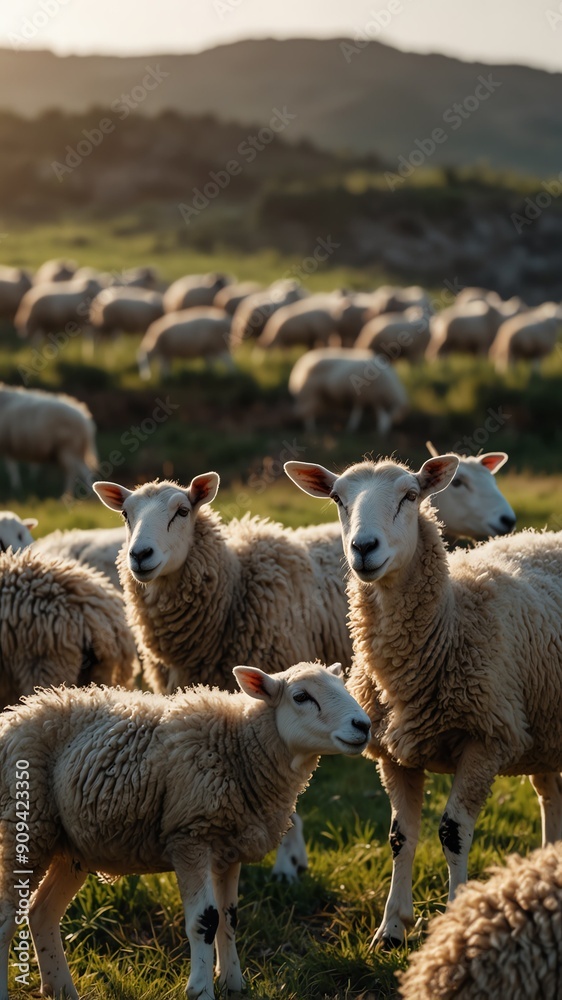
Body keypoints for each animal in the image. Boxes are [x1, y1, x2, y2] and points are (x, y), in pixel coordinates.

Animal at [0, 662, 371, 1000]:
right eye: (301, 697)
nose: (364, 725)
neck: (239, 745)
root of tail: (20, 709)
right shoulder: (190, 837)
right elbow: (205, 920)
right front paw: (201, 989)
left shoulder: (229, 848)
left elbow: (229, 918)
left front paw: (233, 984)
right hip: (27, 827)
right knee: (8, 916)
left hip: (72, 845)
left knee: (41, 912)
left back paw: (61, 989)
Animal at [284, 454, 562, 948]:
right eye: (337, 498)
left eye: (410, 496)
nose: (363, 547)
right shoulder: (394, 753)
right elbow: (400, 836)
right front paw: (390, 930)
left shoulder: (485, 740)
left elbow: (452, 833)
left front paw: (454, 918)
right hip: (541, 728)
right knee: (550, 796)